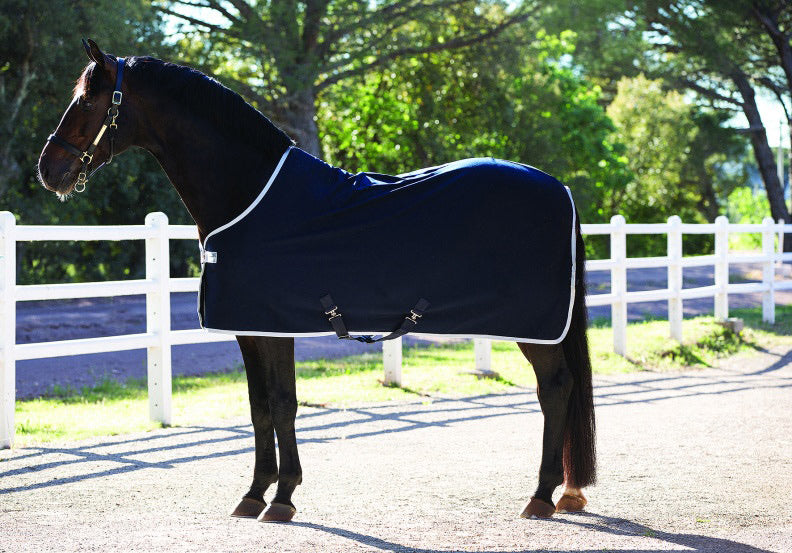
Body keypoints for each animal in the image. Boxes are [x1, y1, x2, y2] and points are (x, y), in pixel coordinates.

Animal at [37, 40, 596, 522]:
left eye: (87, 100)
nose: (48, 170)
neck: (249, 194)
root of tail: (559, 187)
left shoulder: (275, 327)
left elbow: (284, 404)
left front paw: (282, 498)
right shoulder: (250, 329)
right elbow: (260, 407)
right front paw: (254, 494)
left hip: (536, 328)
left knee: (555, 390)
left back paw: (541, 496)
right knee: (559, 390)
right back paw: (564, 493)